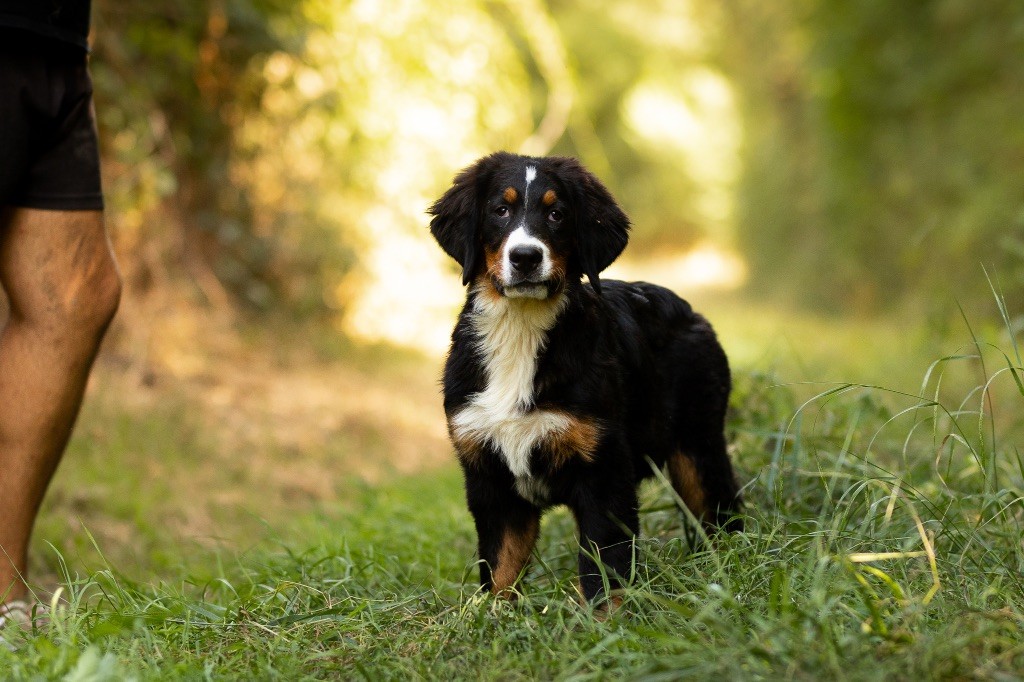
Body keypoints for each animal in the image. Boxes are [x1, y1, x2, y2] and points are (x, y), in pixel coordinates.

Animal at [428, 150, 741, 602]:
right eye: (500, 211)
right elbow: (500, 567)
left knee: (721, 513)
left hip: (697, 443)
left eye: (556, 214)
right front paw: (492, 616)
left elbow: (603, 564)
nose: (525, 257)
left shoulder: (602, 468)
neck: (520, 330)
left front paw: (603, 616)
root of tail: (690, 311)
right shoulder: (488, 477)